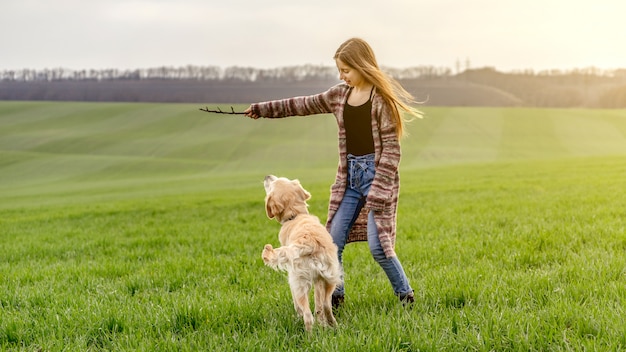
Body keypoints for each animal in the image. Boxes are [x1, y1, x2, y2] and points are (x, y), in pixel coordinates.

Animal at [264, 175, 342, 332]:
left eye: (273, 183)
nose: (267, 176)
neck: (295, 215)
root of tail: (309, 242)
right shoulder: (319, 278)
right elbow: (319, 304)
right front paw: (323, 323)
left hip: (299, 282)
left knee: (307, 315)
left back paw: (309, 335)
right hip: (331, 277)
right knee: (325, 305)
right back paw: (333, 325)